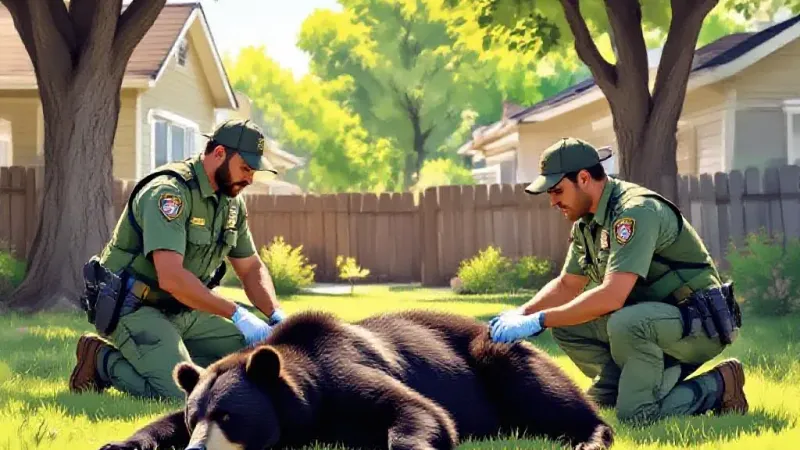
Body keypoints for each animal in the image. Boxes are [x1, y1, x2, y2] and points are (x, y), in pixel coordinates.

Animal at [99, 309, 614, 450]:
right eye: (196, 416)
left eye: (228, 415)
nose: (197, 449)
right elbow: (158, 420)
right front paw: (121, 443)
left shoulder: (343, 374)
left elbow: (418, 410)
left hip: (497, 358)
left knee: (544, 392)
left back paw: (588, 437)